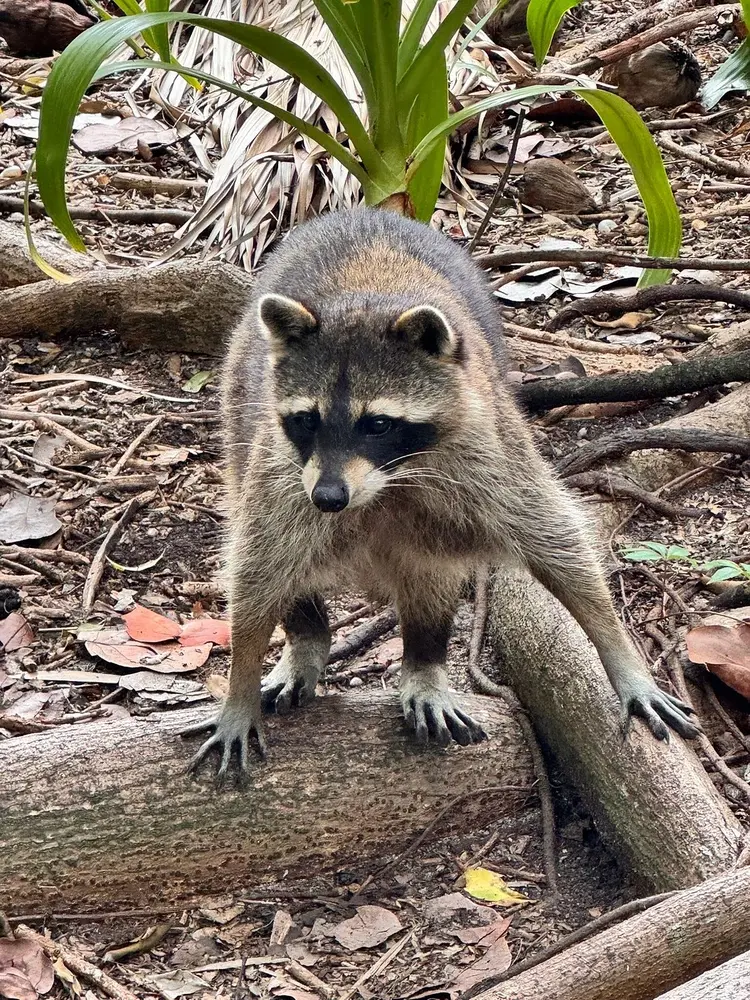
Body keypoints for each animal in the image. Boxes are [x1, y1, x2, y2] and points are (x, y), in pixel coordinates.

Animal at [182, 208, 698, 783]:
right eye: (306, 420)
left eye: (377, 424)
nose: (329, 499)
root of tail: (367, 211)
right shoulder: (284, 469)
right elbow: (259, 564)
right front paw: (239, 688)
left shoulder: (488, 445)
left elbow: (554, 539)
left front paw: (621, 657)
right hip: (238, 403)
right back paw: (307, 636)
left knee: (430, 565)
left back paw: (424, 660)